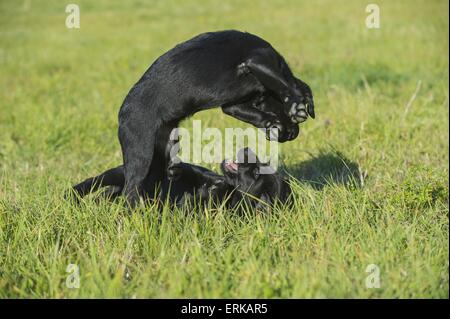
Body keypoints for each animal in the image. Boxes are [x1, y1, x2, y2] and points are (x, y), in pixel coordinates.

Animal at [68, 149, 290, 211]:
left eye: (256, 173)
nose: (248, 150)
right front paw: (175, 169)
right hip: (118, 173)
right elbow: (192, 173)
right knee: (94, 182)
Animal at [117, 29, 312, 208]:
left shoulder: (233, 105)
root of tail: (122, 112)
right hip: (141, 155)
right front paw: (295, 105)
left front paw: (272, 122)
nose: (292, 134)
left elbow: (254, 112)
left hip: (163, 152)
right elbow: (284, 84)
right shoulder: (257, 61)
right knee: (130, 191)